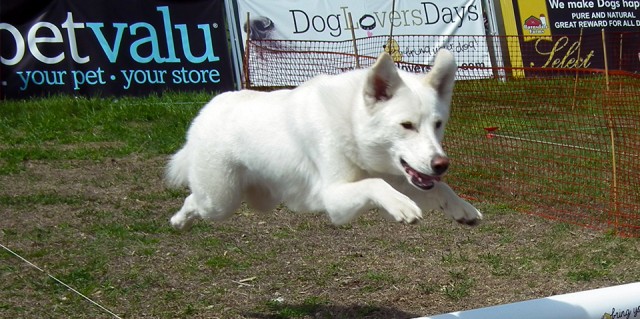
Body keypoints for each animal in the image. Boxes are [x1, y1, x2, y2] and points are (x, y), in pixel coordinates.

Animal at [168, 49, 482, 230]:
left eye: (438, 125)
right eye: (407, 126)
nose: (442, 164)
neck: (351, 125)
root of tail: (208, 108)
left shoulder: (404, 180)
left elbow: (440, 189)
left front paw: (462, 208)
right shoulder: (333, 198)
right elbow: (376, 184)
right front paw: (401, 205)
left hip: (260, 197)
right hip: (220, 201)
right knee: (193, 200)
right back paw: (178, 221)